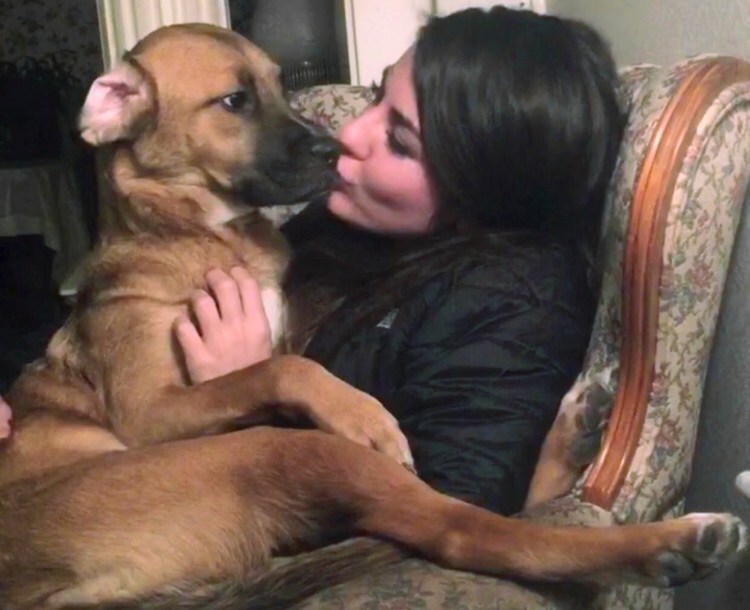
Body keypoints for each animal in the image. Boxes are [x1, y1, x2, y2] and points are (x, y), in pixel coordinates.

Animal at [0, 22, 748, 608]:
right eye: (234, 101)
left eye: (279, 85)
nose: (333, 152)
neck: (205, 234)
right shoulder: (150, 412)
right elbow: (283, 368)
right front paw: (363, 413)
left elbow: (282, 356)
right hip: (275, 450)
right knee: (465, 526)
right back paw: (670, 540)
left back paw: (578, 434)